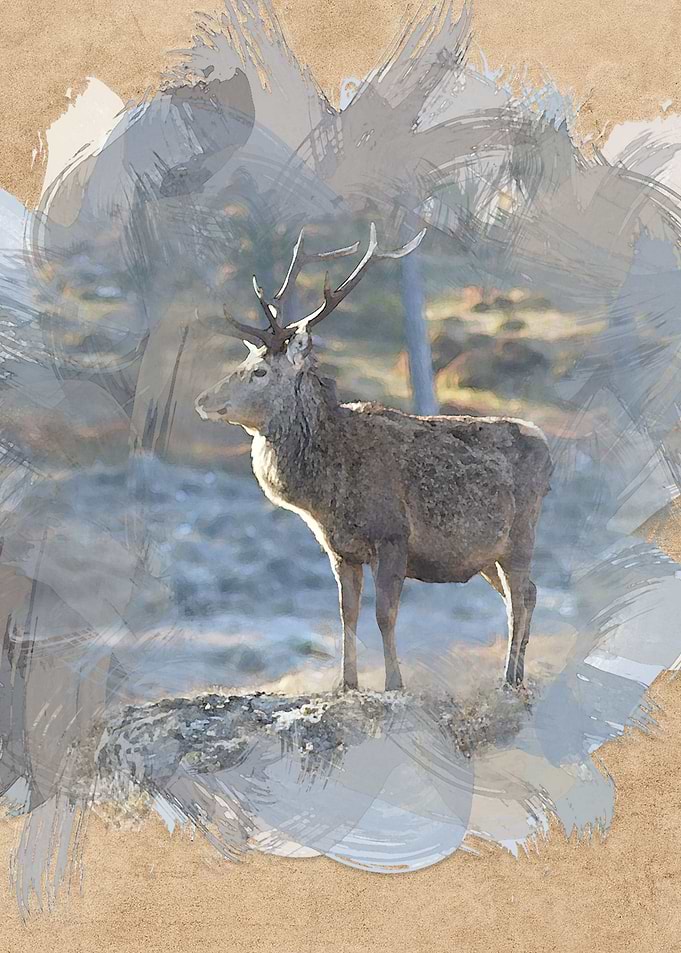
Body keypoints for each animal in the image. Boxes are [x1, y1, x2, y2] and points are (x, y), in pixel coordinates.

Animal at [195, 222, 553, 693]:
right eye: (245, 359)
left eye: (259, 370)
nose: (202, 400)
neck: (327, 492)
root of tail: (548, 450)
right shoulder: (340, 549)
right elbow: (346, 614)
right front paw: (346, 683)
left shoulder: (393, 536)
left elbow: (386, 614)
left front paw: (394, 682)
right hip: (484, 553)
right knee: (525, 593)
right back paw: (516, 674)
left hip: (521, 535)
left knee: (523, 594)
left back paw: (510, 676)